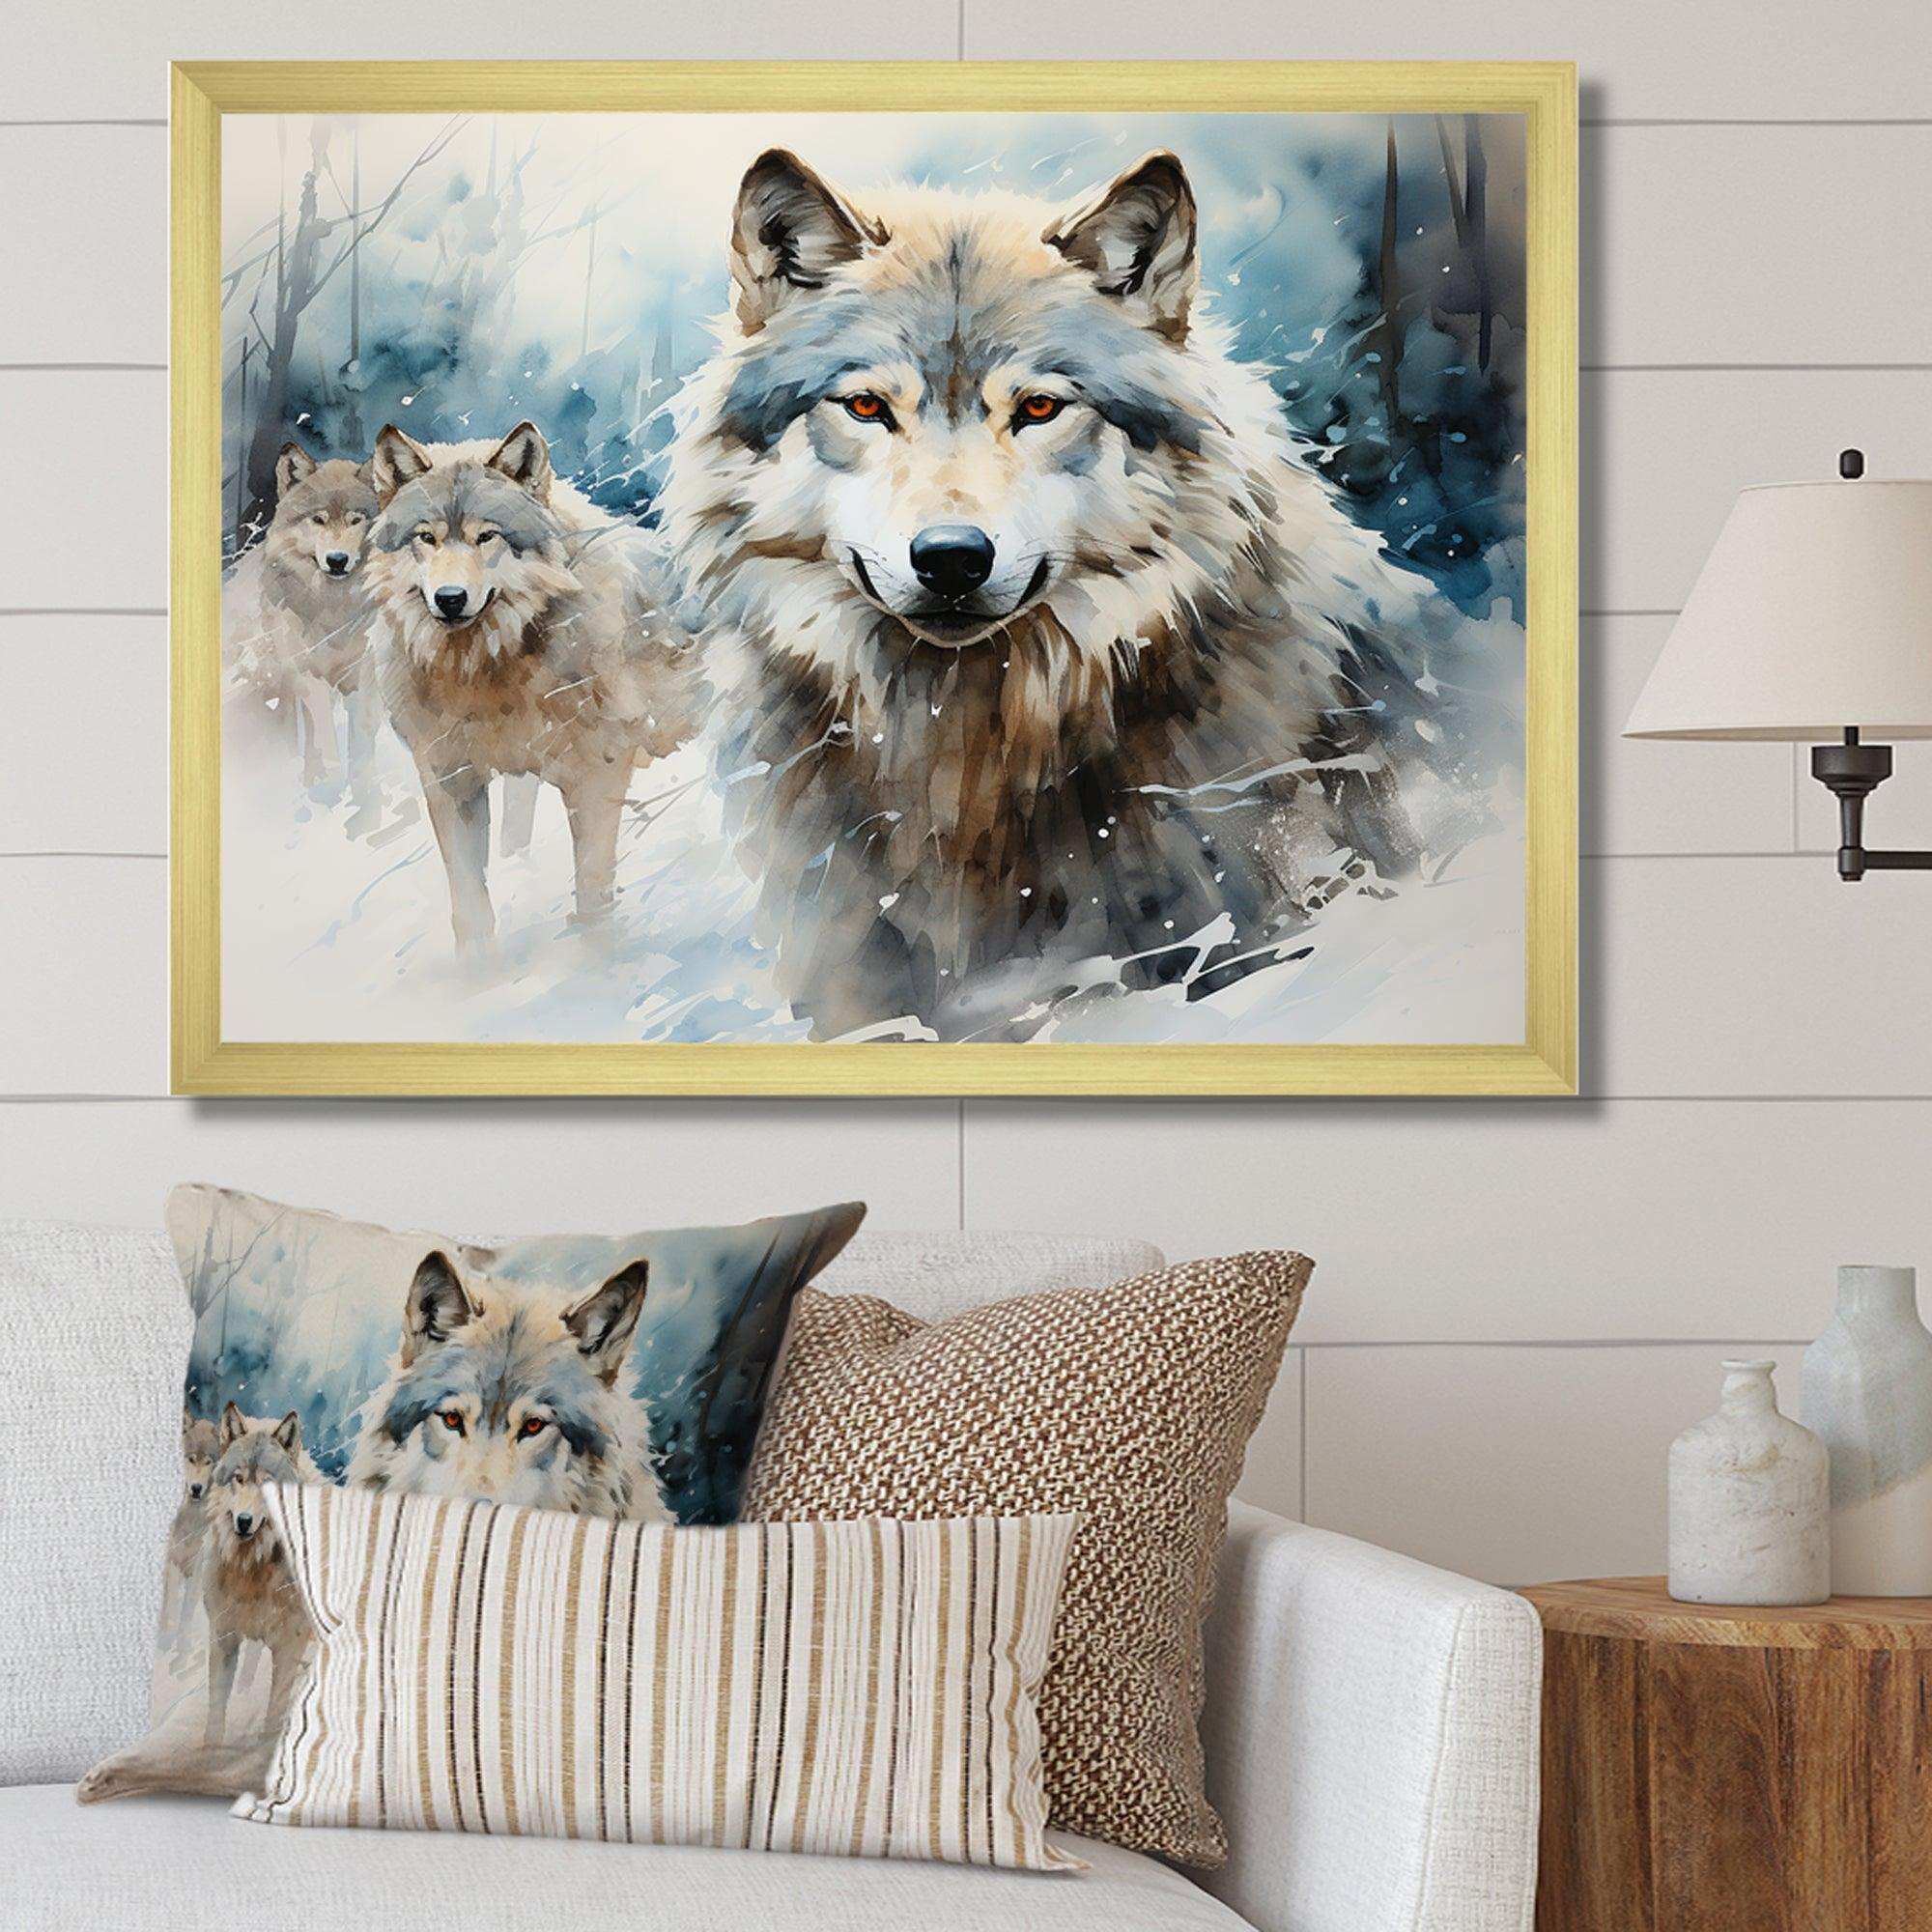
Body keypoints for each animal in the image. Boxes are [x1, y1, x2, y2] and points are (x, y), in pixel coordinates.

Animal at [225, 440, 382, 800]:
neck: (335, 610)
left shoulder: (362, 676)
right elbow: (323, 732)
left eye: (356, 520)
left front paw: (364, 792)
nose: (337, 560)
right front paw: (329, 783)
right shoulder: (308, 672)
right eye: (318, 520)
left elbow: (361, 737)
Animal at [364, 420, 696, 954]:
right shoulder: (449, 777)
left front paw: (599, 960)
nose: (449, 598)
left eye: (486, 537)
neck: (485, 667)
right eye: (426, 538)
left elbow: (593, 891)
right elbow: (469, 901)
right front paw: (479, 969)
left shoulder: (598, 773)